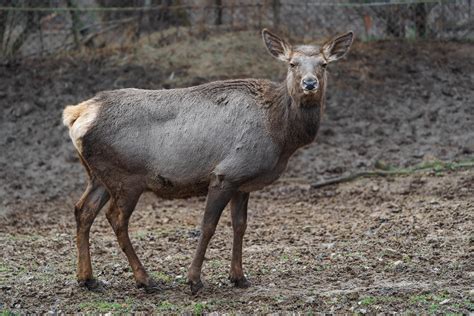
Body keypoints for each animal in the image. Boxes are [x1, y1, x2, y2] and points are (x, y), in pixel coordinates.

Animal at [62, 29, 352, 294]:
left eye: (324, 64)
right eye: (292, 63)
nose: (310, 83)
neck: (281, 135)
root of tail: (76, 115)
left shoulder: (242, 182)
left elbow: (240, 226)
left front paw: (239, 277)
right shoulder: (226, 173)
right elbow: (208, 226)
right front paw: (194, 280)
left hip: (98, 176)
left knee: (82, 210)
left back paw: (87, 279)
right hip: (126, 177)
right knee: (116, 218)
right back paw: (145, 279)